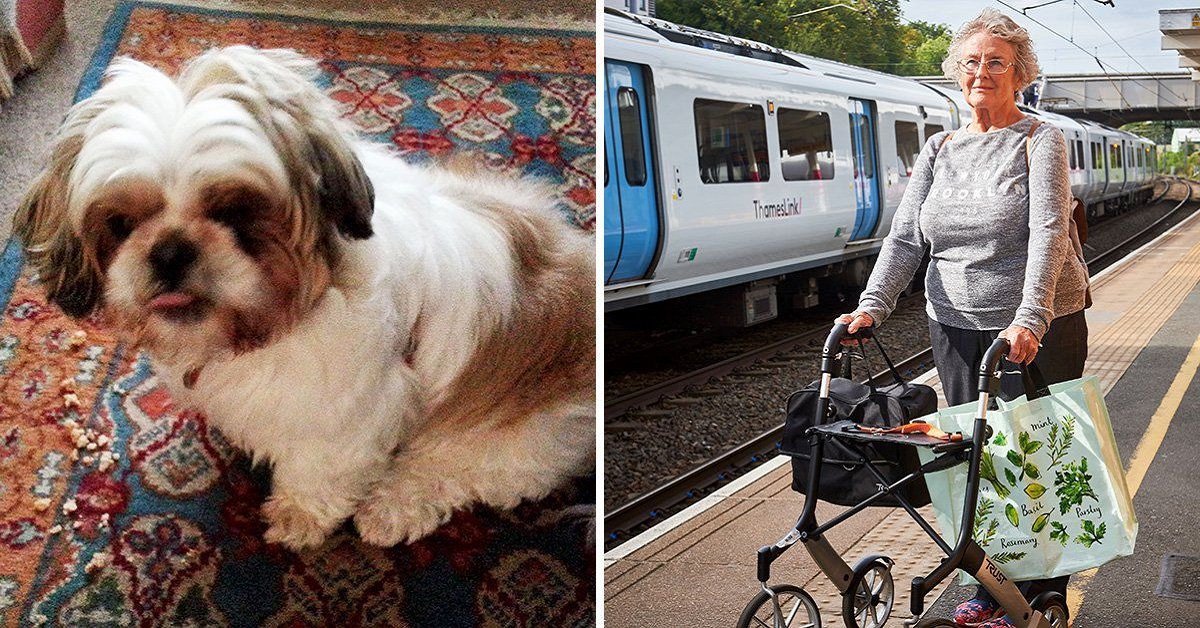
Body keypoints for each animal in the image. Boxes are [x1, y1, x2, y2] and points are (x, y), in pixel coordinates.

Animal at [14, 46, 595, 549]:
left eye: (236, 212)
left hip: (512, 433)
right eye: (120, 223)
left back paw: (393, 507)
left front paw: (298, 516)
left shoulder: (347, 414)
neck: (274, 320)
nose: (170, 251)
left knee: (457, 470)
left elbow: (320, 471)